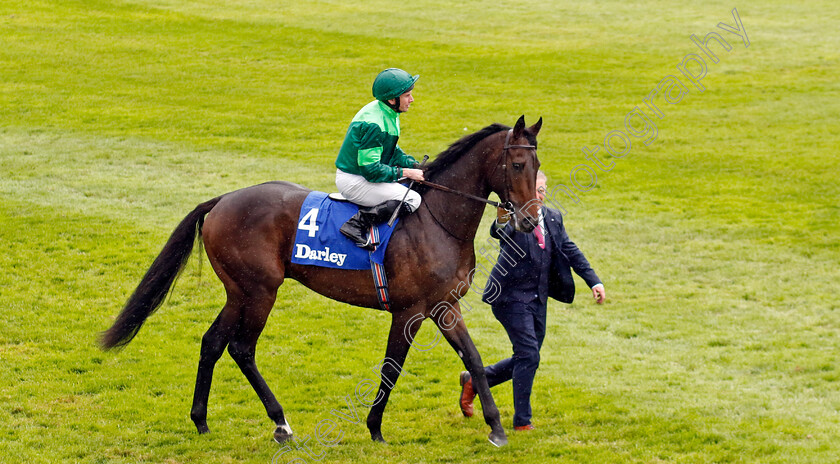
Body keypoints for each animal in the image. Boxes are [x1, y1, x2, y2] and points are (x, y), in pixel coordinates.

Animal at [100, 115, 544, 446]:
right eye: (517, 165)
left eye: (538, 166)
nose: (529, 220)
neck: (437, 220)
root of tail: (222, 200)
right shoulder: (409, 311)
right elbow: (391, 368)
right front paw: (375, 427)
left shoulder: (445, 305)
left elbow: (474, 359)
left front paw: (496, 427)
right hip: (258, 290)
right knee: (241, 347)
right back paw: (280, 423)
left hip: (238, 292)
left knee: (213, 342)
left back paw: (201, 420)